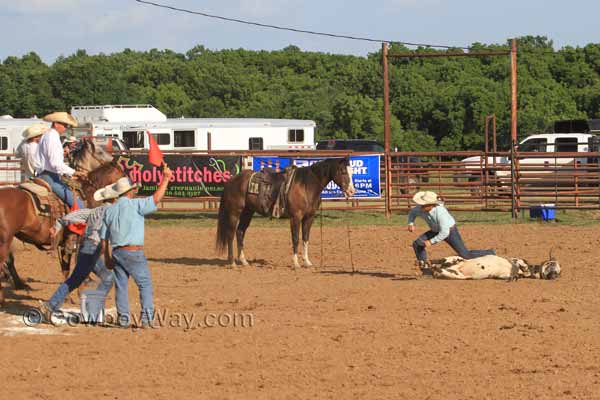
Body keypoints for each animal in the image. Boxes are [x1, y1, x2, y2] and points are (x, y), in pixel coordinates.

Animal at [0, 139, 124, 302]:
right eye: (100, 151)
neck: (86, 192)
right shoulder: (80, 240)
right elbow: (79, 265)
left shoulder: (65, 243)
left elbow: (65, 267)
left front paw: (67, 296)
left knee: (8, 261)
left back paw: (19, 284)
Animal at [217, 158, 354, 268]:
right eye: (343, 171)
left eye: (352, 172)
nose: (351, 191)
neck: (306, 186)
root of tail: (231, 180)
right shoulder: (295, 217)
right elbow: (295, 239)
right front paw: (296, 263)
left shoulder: (309, 218)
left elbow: (305, 238)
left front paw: (307, 262)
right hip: (234, 212)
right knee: (230, 235)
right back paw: (232, 263)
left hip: (247, 212)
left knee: (240, 232)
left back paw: (244, 261)